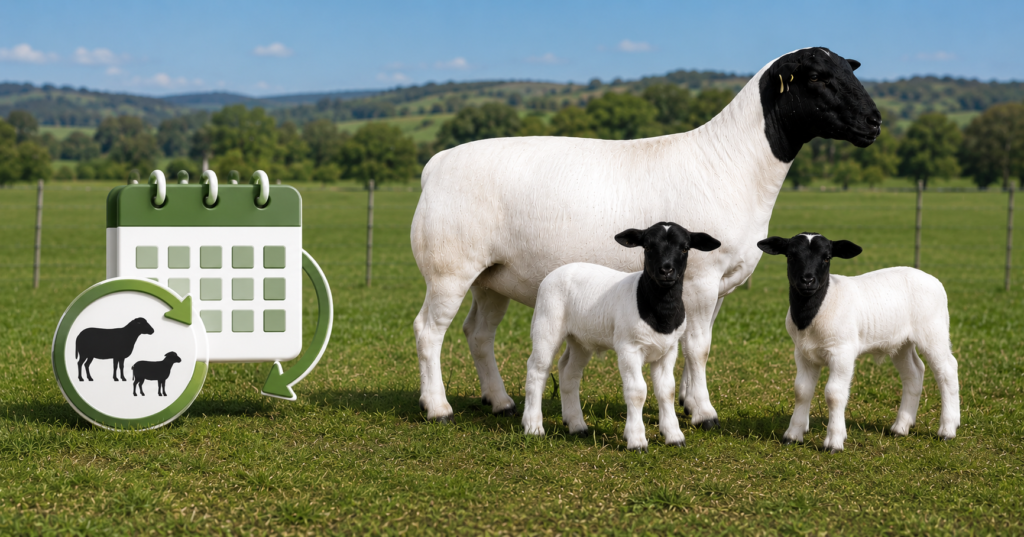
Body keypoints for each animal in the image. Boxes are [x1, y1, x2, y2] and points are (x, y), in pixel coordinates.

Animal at [411, 47, 881, 426]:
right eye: (818, 76)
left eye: (849, 69)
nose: (874, 122)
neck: (735, 163)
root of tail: (435, 163)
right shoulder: (701, 278)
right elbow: (699, 347)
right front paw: (704, 412)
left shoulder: (716, 285)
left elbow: (694, 342)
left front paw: (689, 402)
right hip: (449, 267)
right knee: (429, 331)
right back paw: (438, 407)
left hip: (491, 276)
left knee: (478, 334)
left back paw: (500, 400)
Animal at [522, 222, 721, 451]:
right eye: (648, 247)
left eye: (685, 248)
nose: (666, 270)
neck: (660, 311)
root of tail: (555, 273)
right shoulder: (629, 348)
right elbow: (637, 391)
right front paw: (636, 440)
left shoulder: (668, 350)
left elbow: (667, 391)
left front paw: (674, 436)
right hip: (547, 323)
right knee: (537, 370)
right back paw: (533, 427)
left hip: (581, 339)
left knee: (569, 372)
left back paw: (577, 425)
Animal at [757, 233, 960, 453]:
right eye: (791, 256)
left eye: (827, 258)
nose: (808, 280)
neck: (813, 312)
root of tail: (933, 280)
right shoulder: (803, 353)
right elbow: (801, 391)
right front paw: (793, 435)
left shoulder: (842, 351)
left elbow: (834, 394)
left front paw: (834, 441)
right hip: (900, 342)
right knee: (913, 373)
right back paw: (901, 427)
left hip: (933, 330)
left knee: (947, 370)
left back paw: (948, 429)